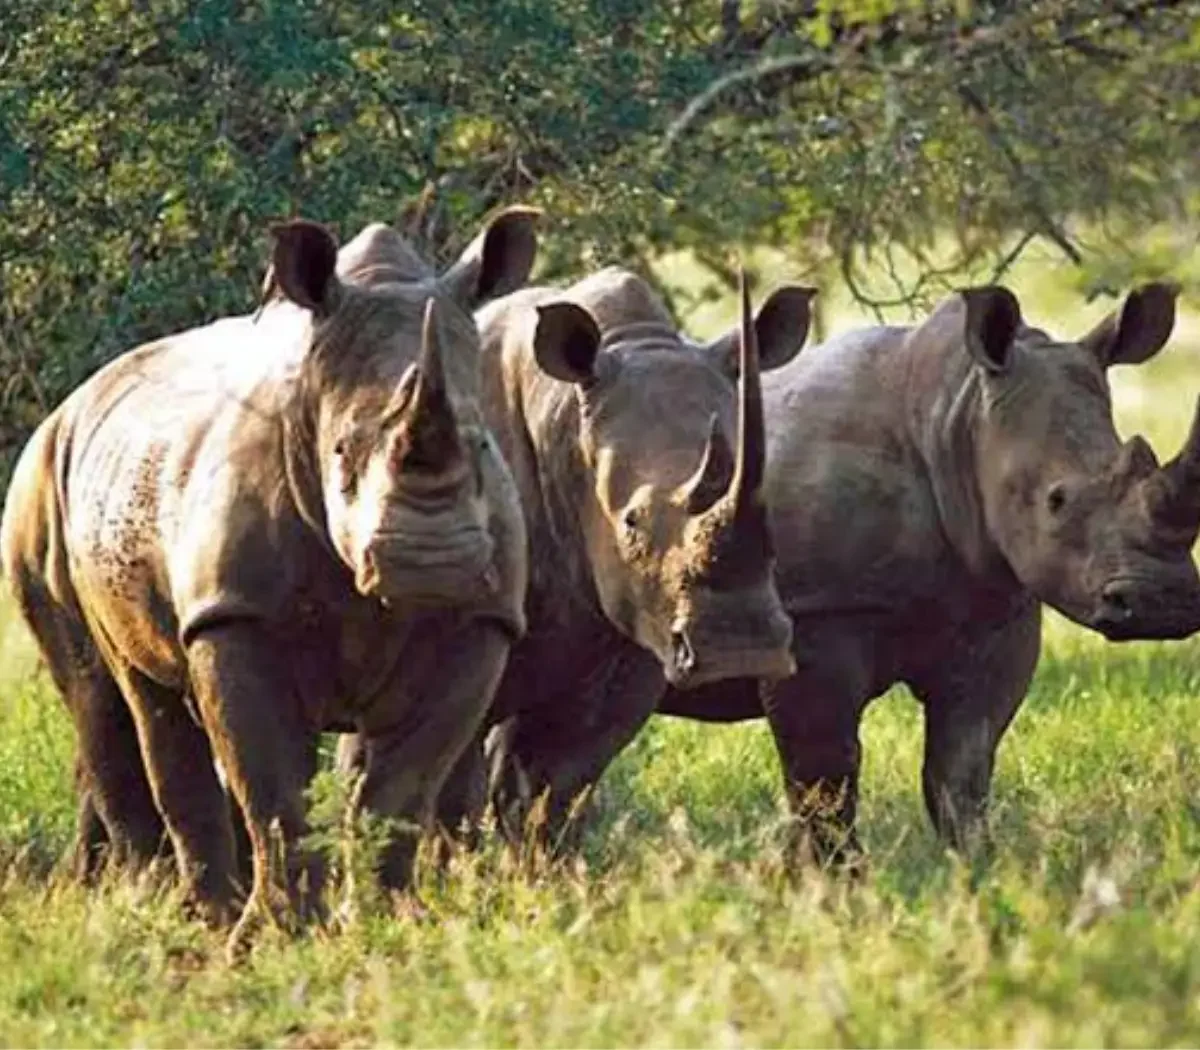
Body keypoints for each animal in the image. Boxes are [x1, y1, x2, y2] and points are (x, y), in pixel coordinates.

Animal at [1, 207, 540, 949]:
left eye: (482, 443)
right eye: (339, 450)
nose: (428, 561)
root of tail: (77, 399)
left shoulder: (480, 620)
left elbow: (403, 790)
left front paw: (394, 926)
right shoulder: (234, 612)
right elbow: (275, 788)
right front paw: (273, 939)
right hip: (39, 487)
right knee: (113, 695)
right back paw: (176, 913)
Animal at [383, 266, 818, 838]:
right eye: (631, 522)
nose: (741, 651)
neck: (566, 421)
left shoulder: (633, 636)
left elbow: (553, 791)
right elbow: (448, 794)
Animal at [490, 281, 1200, 858]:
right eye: (1057, 501)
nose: (1163, 603)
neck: (957, 416)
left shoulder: (996, 602)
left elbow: (963, 767)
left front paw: (977, 873)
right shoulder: (818, 617)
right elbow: (826, 776)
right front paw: (838, 889)